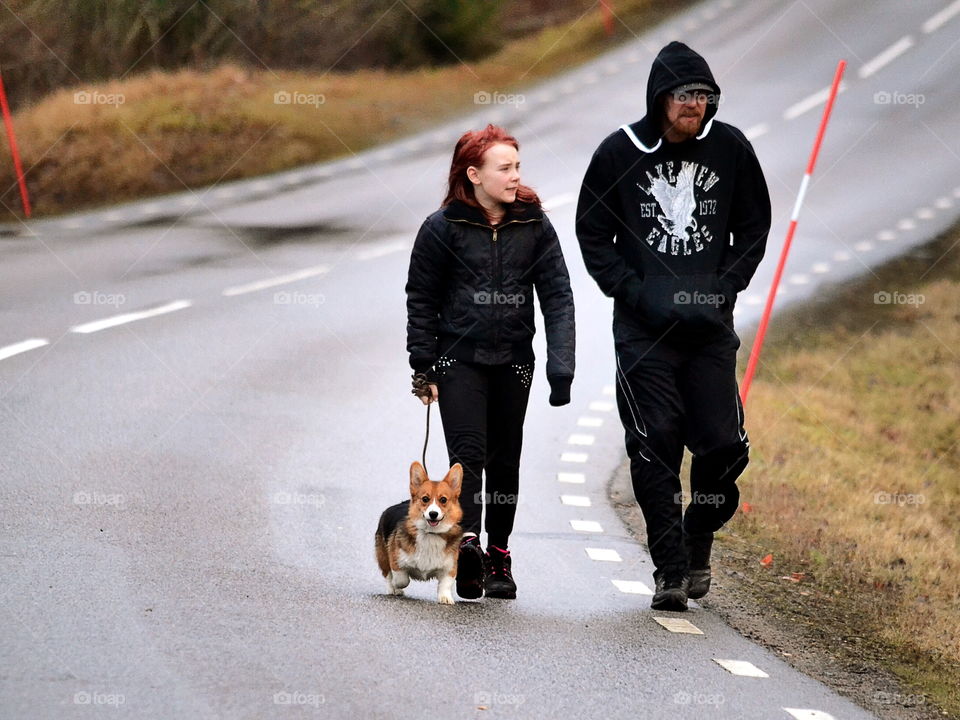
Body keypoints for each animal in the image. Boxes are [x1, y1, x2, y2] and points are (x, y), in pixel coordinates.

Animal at [376, 462, 464, 600]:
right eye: (425, 499)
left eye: (443, 500)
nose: (433, 514)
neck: (431, 533)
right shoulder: (396, 561)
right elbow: (401, 579)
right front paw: (396, 586)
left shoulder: (449, 567)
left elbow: (445, 584)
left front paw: (445, 598)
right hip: (382, 555)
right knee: (387, 574)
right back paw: (393, 589)